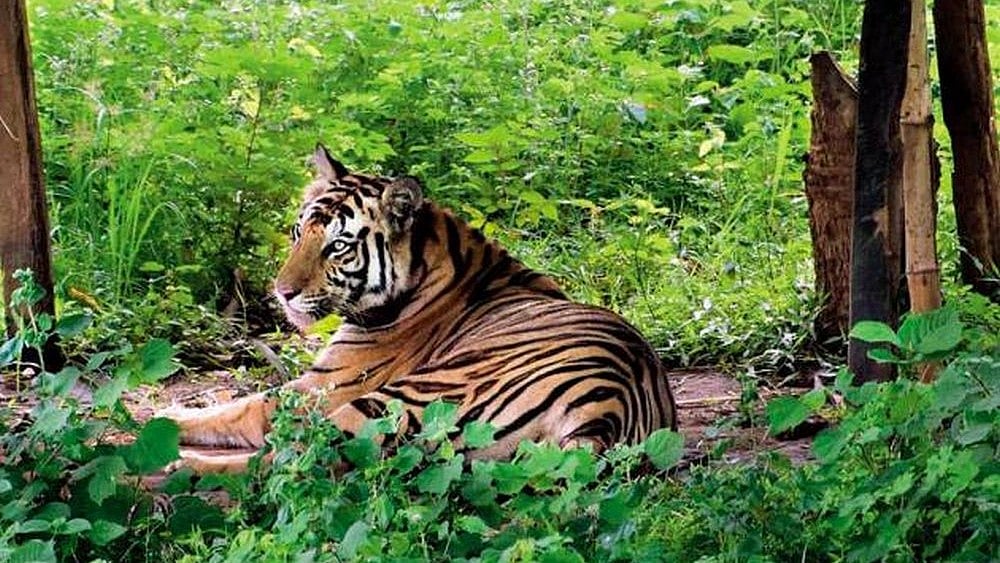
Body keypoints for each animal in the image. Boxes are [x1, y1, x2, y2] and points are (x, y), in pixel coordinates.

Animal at [159, 144, 677, 473]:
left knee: (285, 466)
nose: (281, 293)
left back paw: (182, 465)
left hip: (398, 401)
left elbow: (233, 410)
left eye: (338, 246)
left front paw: (161, 420)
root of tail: (606, 405)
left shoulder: (317, 390)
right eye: (298, 233)